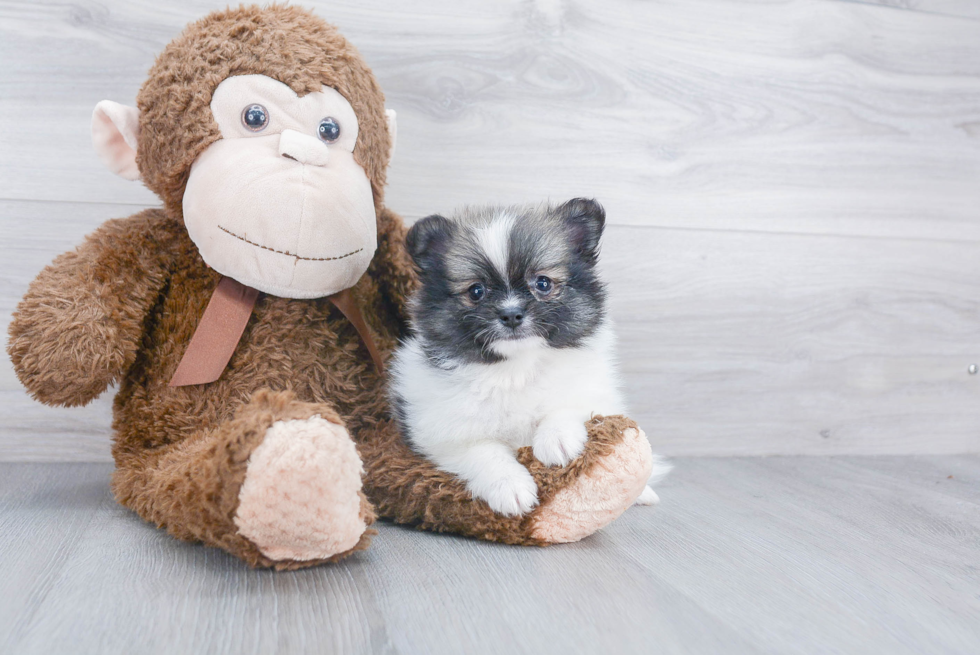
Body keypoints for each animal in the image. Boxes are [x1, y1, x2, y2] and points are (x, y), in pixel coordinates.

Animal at [386, 200, 668, 516]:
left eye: (543, 283)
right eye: (476, 291)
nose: (510, 314)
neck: (516, 367)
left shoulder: (593, 393)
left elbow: (566, 405)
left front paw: (557, 439)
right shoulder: (446, 436)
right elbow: (485, 453)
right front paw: (511, 488)